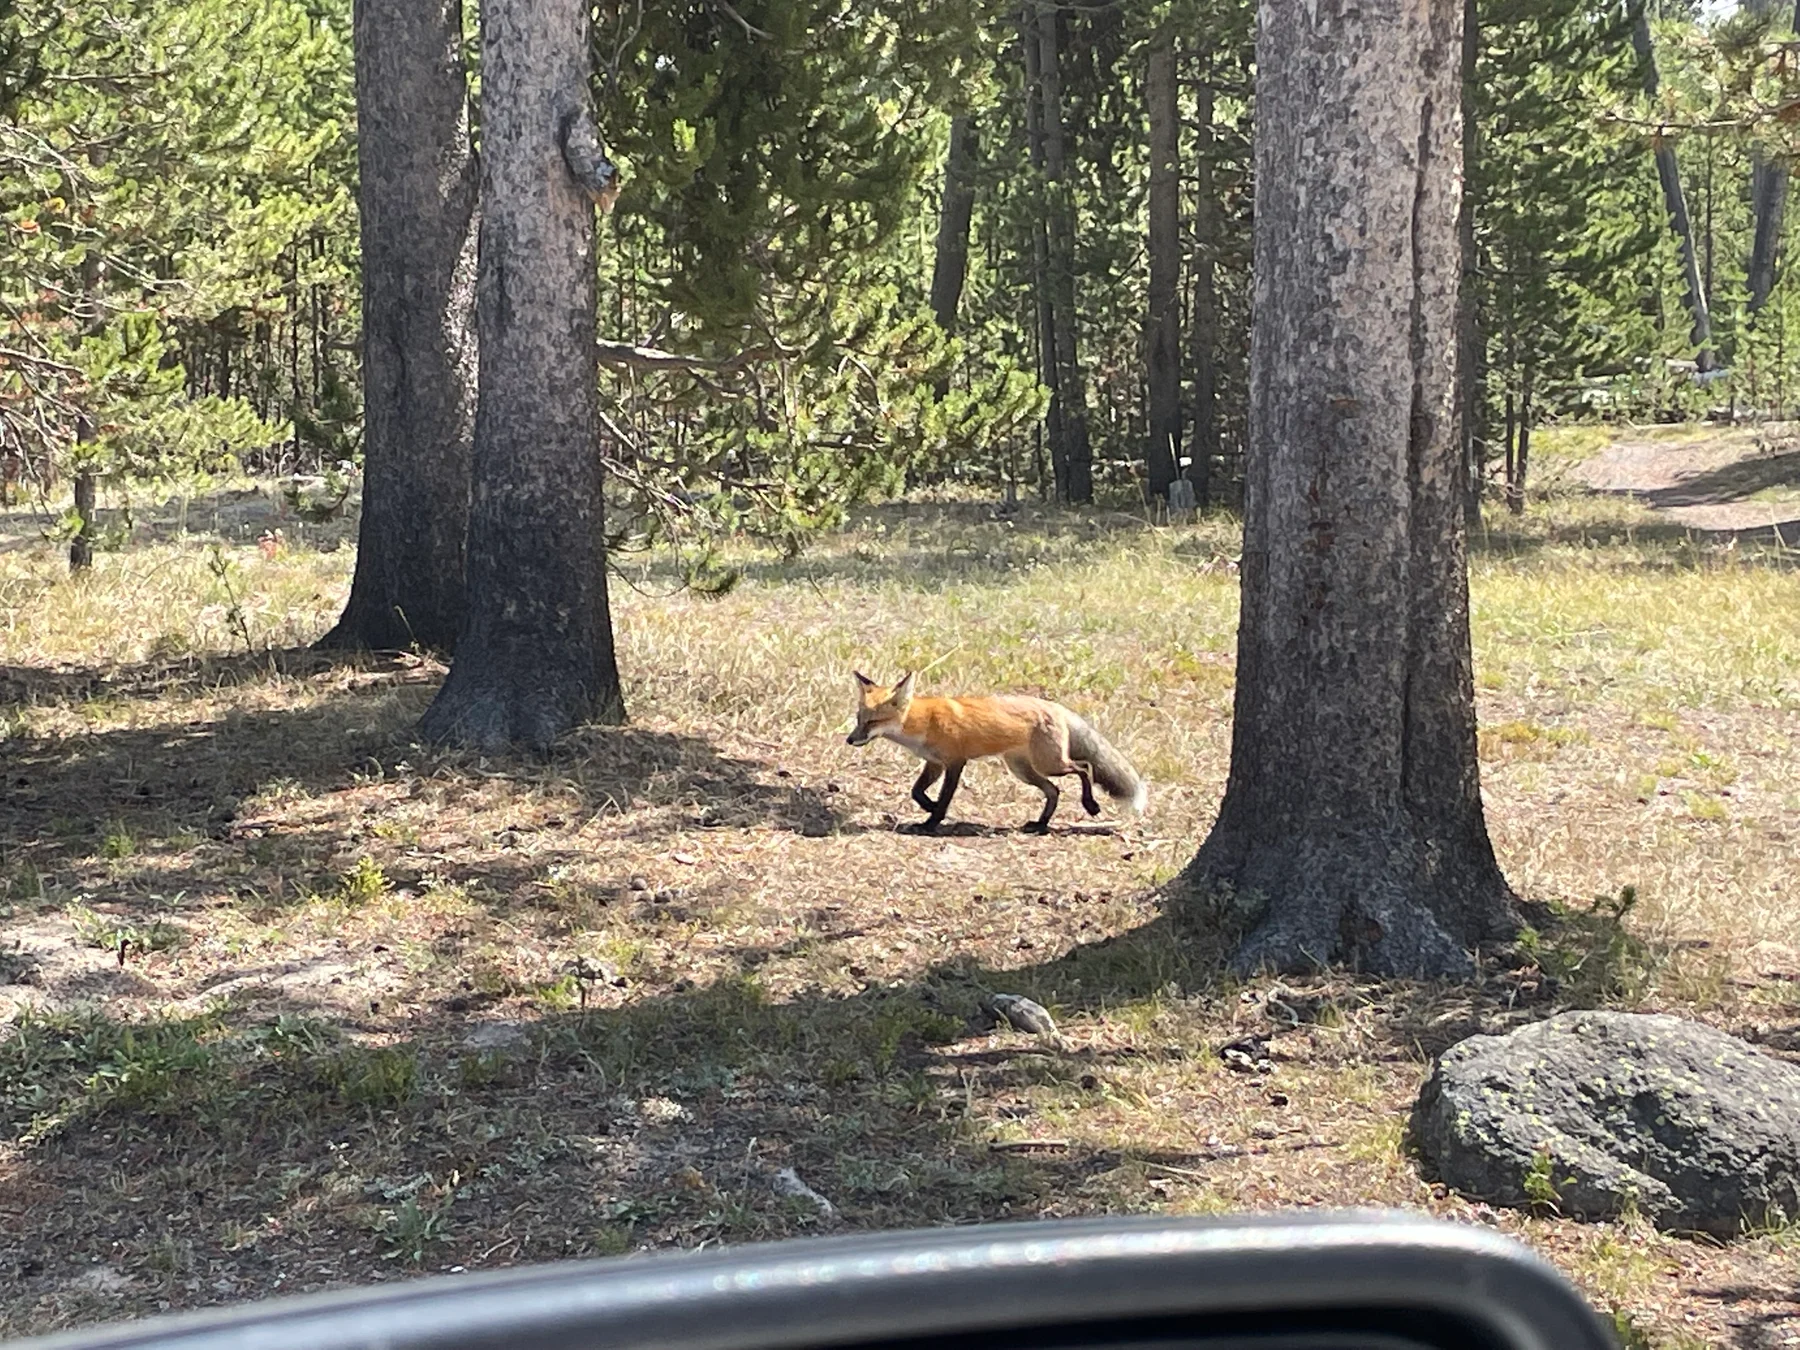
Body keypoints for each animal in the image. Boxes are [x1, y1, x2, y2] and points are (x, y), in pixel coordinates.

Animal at [845, 670, 1148, 834]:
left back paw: (1090, 804)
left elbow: (944, 799)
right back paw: (1040, 824)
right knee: (1054, 790)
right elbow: (916, 792)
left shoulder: (955, 762)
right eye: (859, 719)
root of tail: (1054, 705)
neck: (924, 722)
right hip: (1023, 770)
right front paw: (929, 809)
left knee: (1084, 767)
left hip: (1049, 763)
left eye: (872, 722)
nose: (849, 740)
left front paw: (932, 822)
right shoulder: (934, 763)